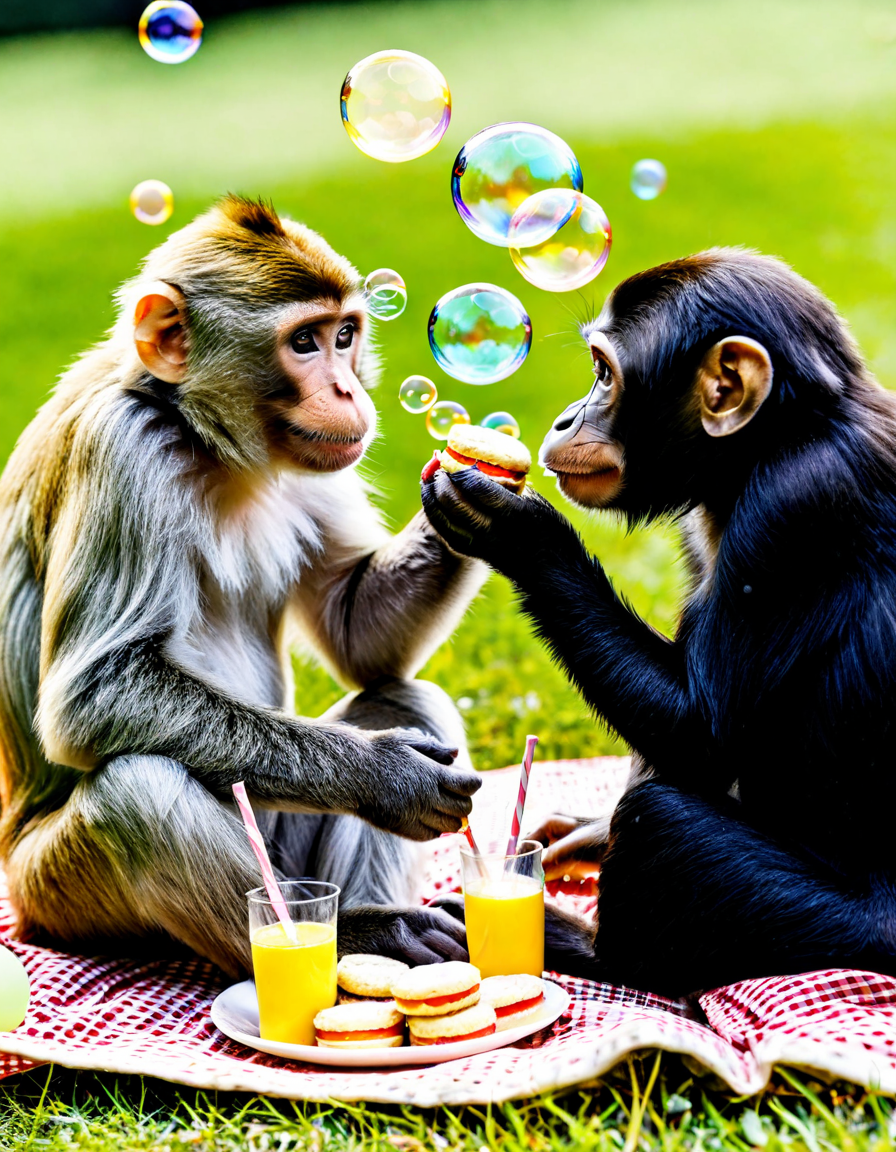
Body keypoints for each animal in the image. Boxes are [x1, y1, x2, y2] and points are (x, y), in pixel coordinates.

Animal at [0, 194, 488, 978]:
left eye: (345, 334)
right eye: (305, 343)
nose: (350, 389)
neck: (202, 437)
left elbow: (359, 634)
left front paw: (475, 497)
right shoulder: (124, 446)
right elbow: (93, 694)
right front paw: (386, 777)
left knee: (405, 698)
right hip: (55, 896)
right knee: (137, 793)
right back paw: (362, 936)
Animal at [422, 247, 896, 996]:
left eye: (604, 374)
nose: (567, 418)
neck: (763, 448)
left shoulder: (800, 507)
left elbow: (697, 731)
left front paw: (514, 529)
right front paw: (583, 834)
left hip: (844, 936)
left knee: (663, 821)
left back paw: (579, 945)